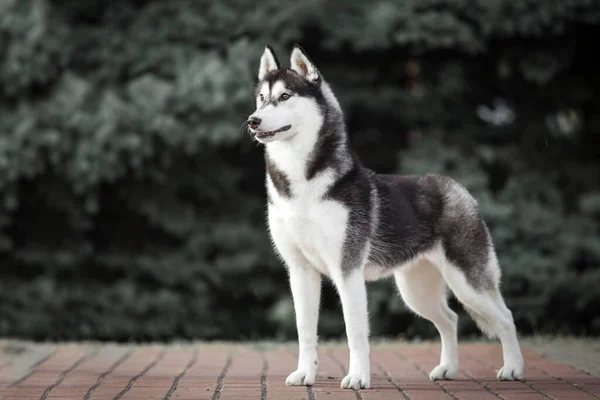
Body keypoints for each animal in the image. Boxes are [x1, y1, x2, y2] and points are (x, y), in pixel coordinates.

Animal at [246, 45, 524, 390]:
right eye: (261, 98)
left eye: (284, 97)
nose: (252, 121)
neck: (302, 184)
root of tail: (457, 187)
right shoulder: (300, 271)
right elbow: (305, 330)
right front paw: (305, 374)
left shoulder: (347, 270)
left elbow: (355, 332)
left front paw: (358, 377)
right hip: (416, 291)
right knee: (450, 319)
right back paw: (448, 368)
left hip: (467, 282)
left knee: (505, 317)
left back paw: (513, 368)